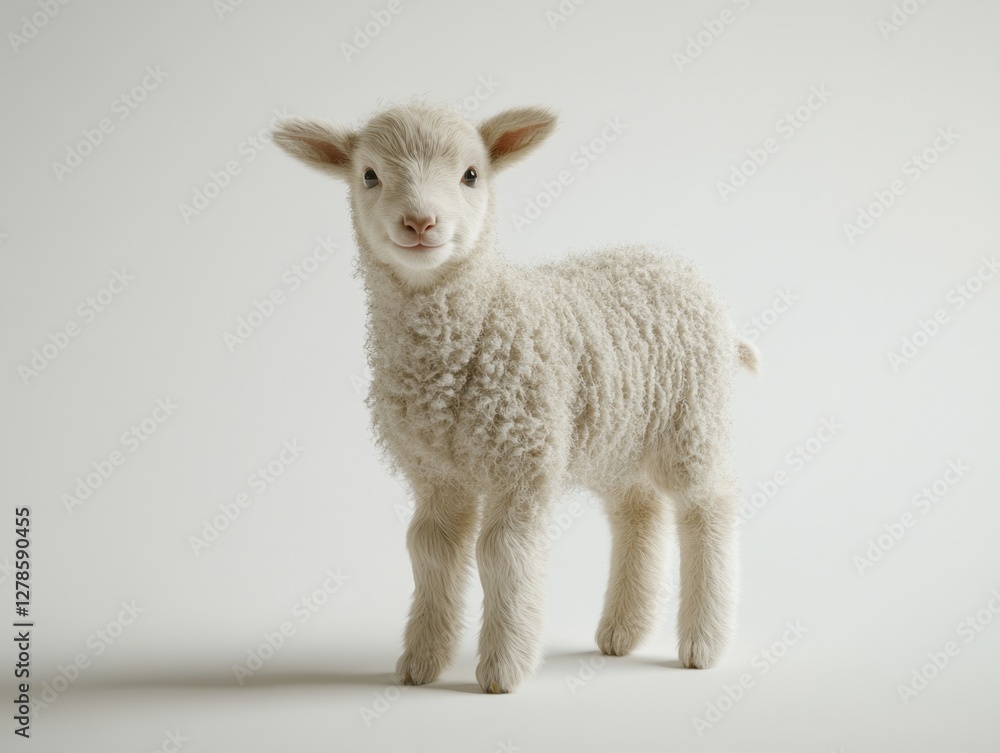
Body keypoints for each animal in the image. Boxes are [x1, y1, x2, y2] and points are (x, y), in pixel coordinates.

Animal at [273, 102, 758, 694]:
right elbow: (429, 548)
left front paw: (503, 670)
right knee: (637, 511)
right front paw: (420, 664)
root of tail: (679, 268)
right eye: (368, 175)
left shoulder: (522, 462)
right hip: (617, 438)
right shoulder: (435, 474)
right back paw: (622, 632)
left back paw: (702, 644)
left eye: (471, 174)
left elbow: (502, 553)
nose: (420, 223)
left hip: (693, 421)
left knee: (708, 507)